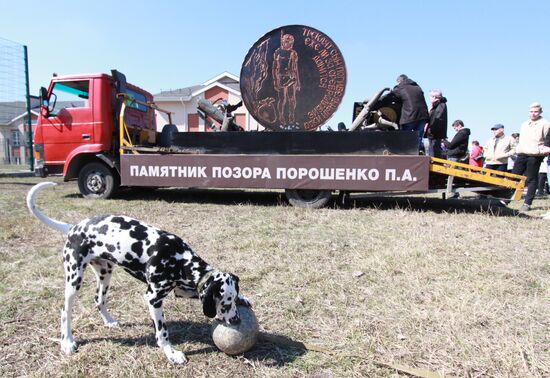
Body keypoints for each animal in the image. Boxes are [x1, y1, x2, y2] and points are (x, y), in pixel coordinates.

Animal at [25, 182, 250, 364]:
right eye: (225, 304)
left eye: (233, 300)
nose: (237, 321)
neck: (179, 259)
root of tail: (73, 228)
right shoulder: (153, 298)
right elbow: (162, 332)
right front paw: (171, 353)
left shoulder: (183, 289)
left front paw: (245, 298)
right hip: (74, 279)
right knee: (65, 311)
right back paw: (67, 342)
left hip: (105, 273)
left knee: (98, 299)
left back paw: (109, 322)